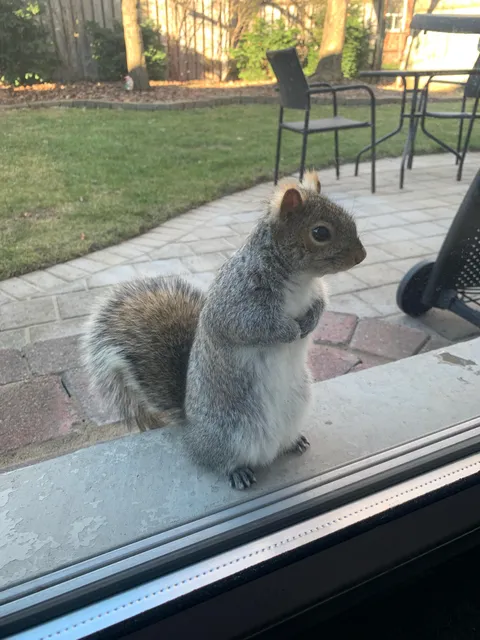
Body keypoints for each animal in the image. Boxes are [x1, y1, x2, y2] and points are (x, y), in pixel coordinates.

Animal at [82, 171, 366, 490]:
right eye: (320, 233)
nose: (361, 255)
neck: (300, 279)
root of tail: (191, 431)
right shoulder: (235, 303)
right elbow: (251, 327)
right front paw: (290, 331)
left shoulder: (316, 292)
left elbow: (320, 304)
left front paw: (309, 322)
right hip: (227, 433)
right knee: (218, 461)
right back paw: (238, 471)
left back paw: (293, 442)